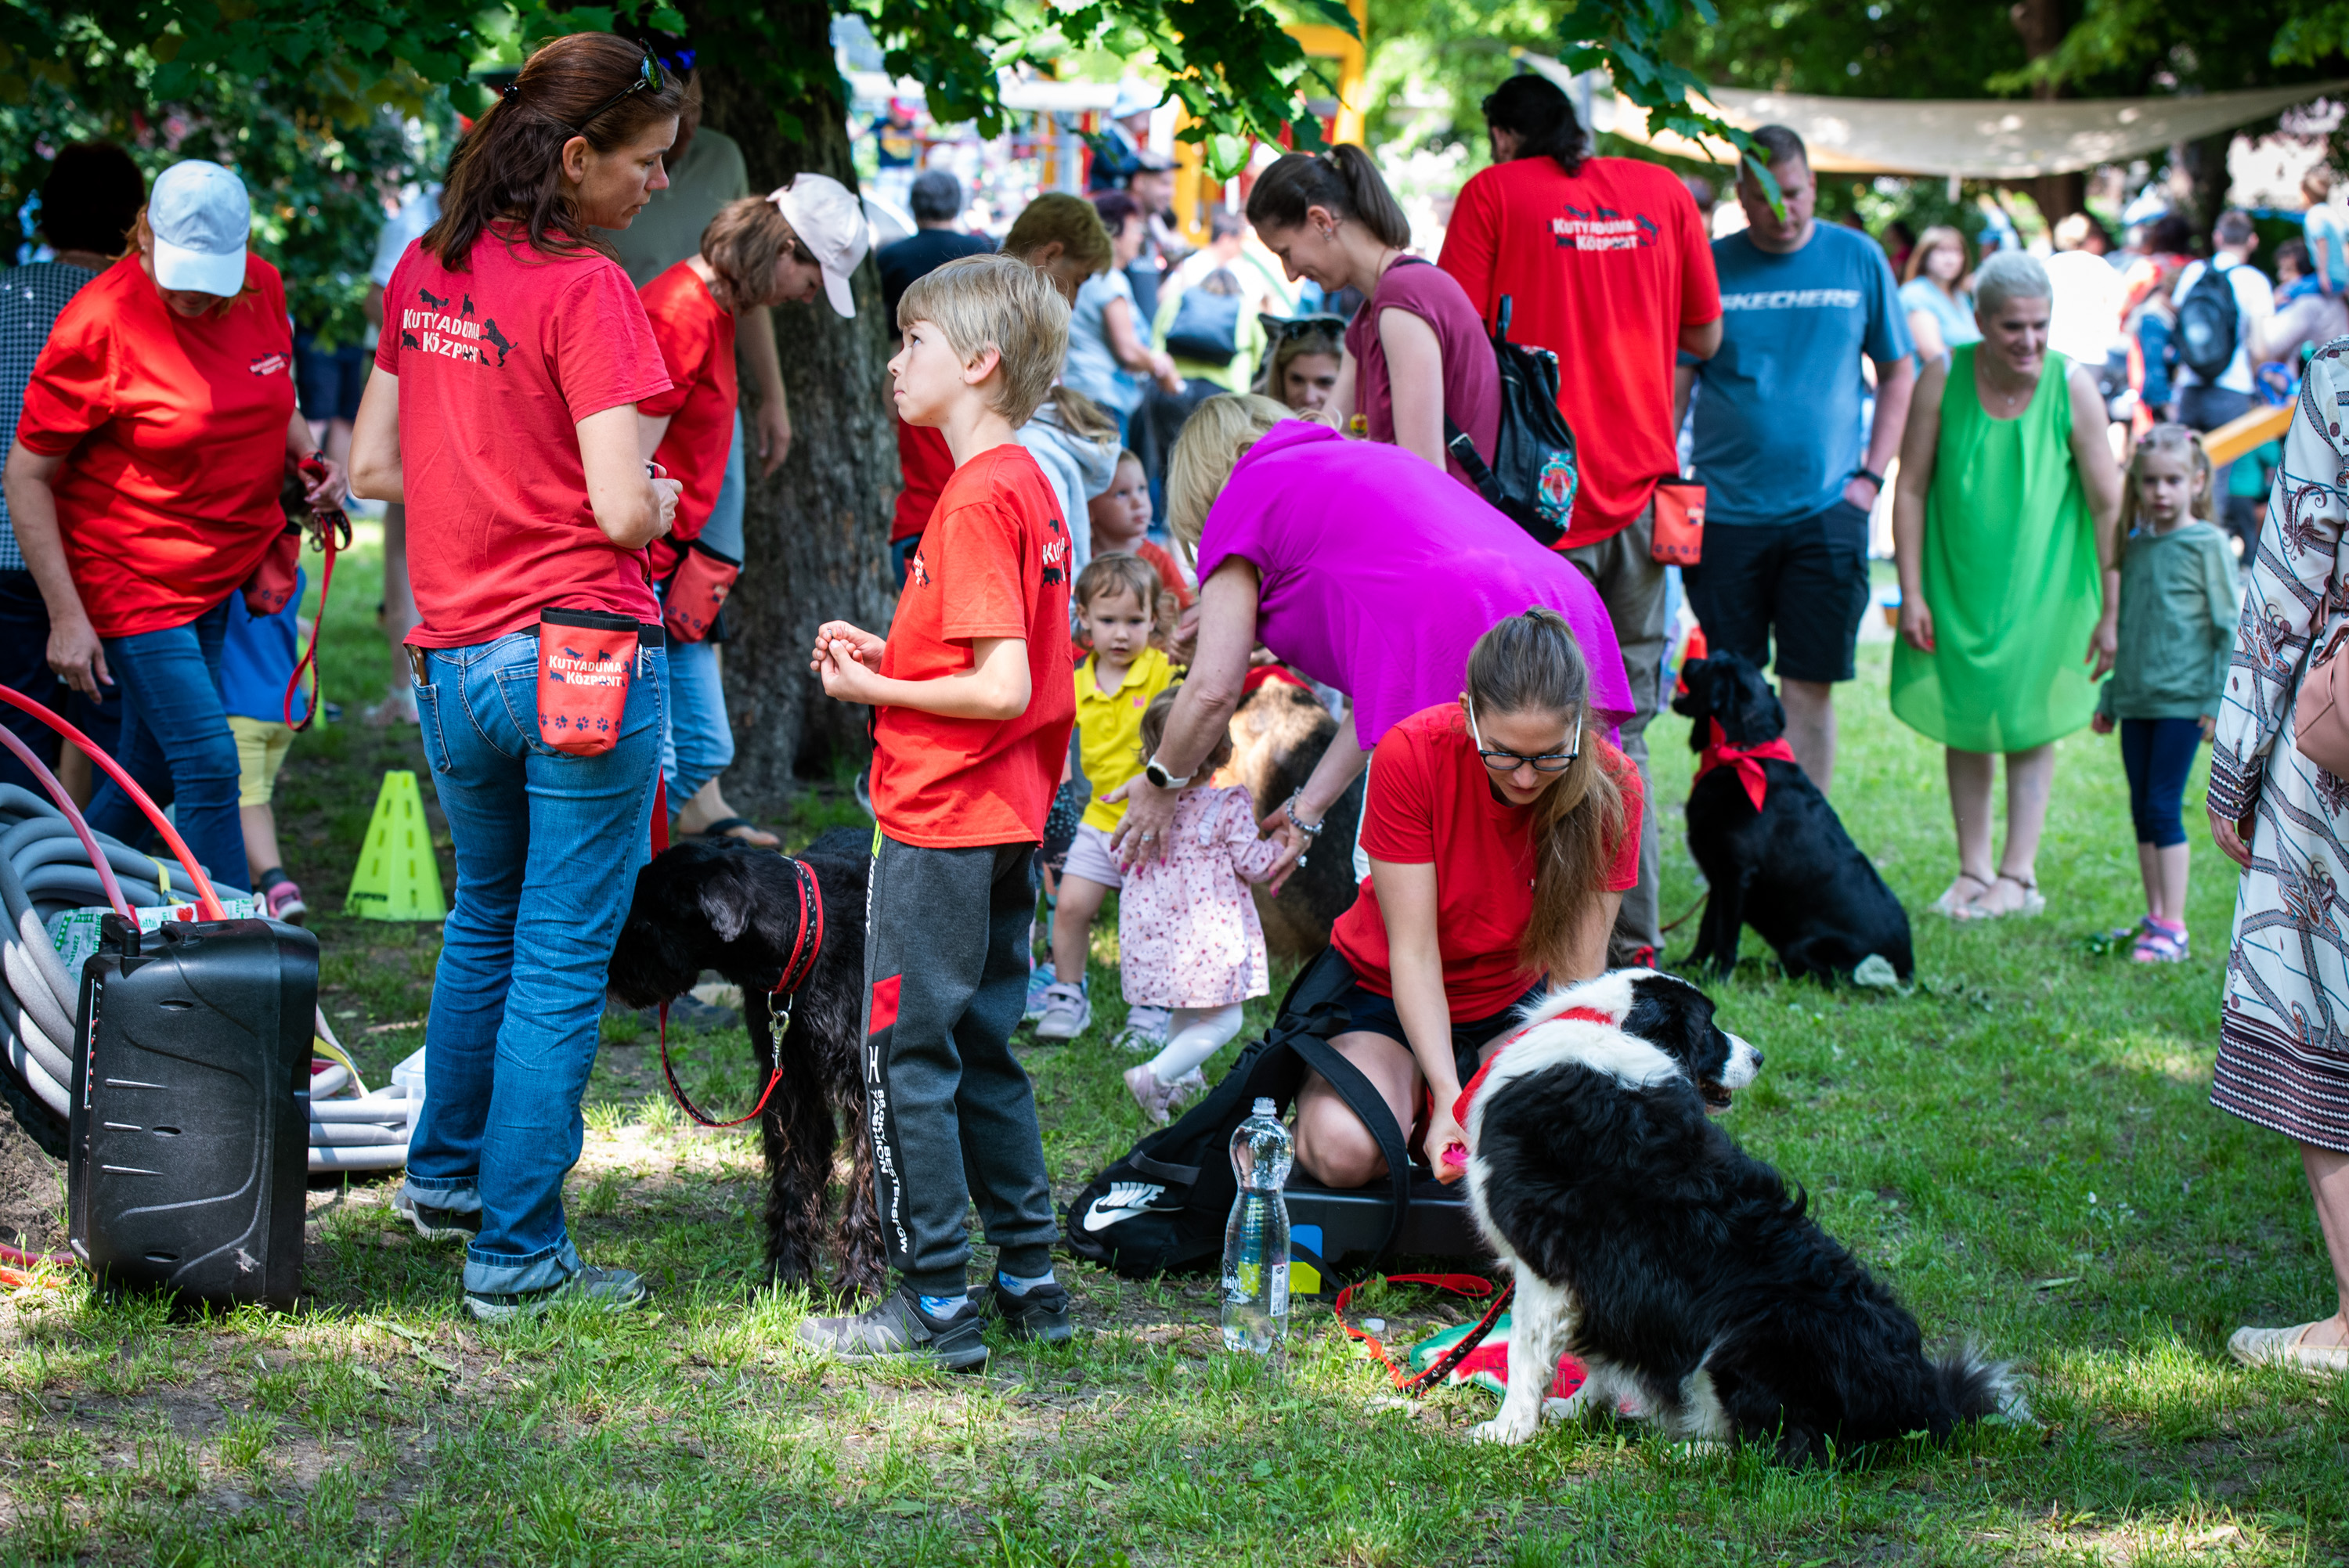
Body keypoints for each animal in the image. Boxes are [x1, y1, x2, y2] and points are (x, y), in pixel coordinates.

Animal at [606, 831, 888, 1296]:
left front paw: (857, 1285)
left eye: (645, 922)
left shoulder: (869, 1095)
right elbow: (794, 1181)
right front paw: (787, 1276)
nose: (608, 974)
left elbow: (867, 1189)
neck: (807, 937)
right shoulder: (791, 1090)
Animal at [1456, 971, 2011, 1465]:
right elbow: (1603, 1357)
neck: (1611, 1025)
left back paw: (1687, 1451)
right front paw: (1572, 1410)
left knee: (1788, 1446)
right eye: (1708, 1029)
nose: (1760, 1058)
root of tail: (1921, 1396)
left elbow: (1525, 1353)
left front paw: (1507, 1431)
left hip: (1749, 1336)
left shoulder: (1546, 1266)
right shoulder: (1607, 1282)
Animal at [1672, 647, 1907, 981]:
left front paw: (1718, 977)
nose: (1691, 659)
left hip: (1805, 948)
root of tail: (1907, 968)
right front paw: (1689, 967)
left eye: (1715, 663)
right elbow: (1707, 930)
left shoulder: (1736, 875)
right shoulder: (1718, 879)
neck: (1741, 754)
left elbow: (1726, 936)